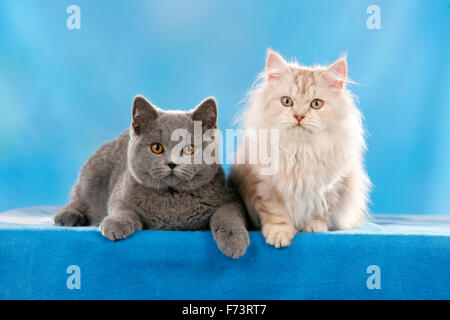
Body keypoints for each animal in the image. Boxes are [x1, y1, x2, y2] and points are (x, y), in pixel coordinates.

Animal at [53, 95, 250, 258]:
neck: (172, 199)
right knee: (78, 196)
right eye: (157, 148)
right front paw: (115, 224)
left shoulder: (229, 197)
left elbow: (227, 215)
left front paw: (234, 241)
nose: (172, 163)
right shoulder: (121, 194)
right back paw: (67, 216)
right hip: (92, 175)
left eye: (189, 149)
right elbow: (122, 209)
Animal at [230, 49, 370, 248]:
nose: (299, 116)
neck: (299, 151)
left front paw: (314, 228)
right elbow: (276, 215)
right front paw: (279, 236)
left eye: (316, 104)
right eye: (286, 101)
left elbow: (320, 211)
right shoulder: (265, 186)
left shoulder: (333, 186)